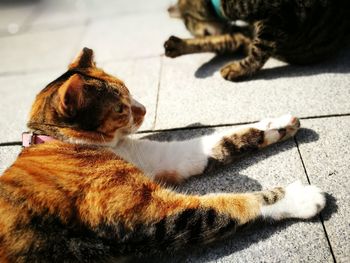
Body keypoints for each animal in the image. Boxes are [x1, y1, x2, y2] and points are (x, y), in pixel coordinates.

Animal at [0, 48, 326, 263]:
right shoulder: (147, 214)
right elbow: (230, 205)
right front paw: (301, 198)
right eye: (120, 108)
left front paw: (277, 124)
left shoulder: (164, 157)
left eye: (129, 91)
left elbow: (224, 140)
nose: (144, 109)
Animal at [165, 0, 350, 81]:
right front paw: (177, 45)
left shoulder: (275, 19)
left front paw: (237, 70)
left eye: (188, 23)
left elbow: (258, 52)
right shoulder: (242, 37)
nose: (193, 33)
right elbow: (215, 41)